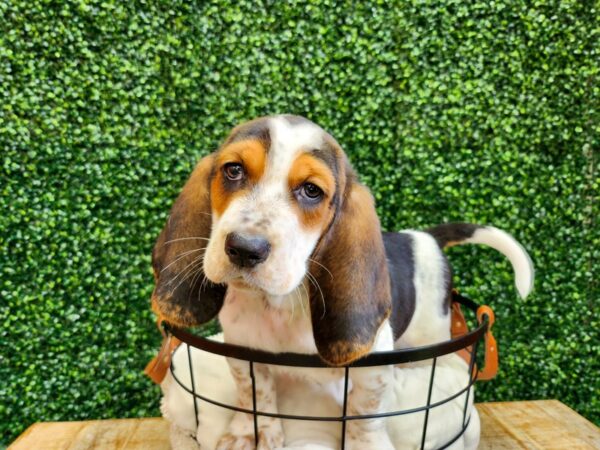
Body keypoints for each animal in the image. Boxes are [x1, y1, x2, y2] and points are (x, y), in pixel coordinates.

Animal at [151, 114, 536, 448]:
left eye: (311, 190)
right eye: (233, 170)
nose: (245, 248)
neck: (282, 305)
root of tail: (423, 236)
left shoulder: (372, 365)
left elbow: (365, 412)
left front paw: (363, 443)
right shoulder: (243, 350)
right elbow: (254, 393)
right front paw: (252, 434)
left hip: (432, 335)